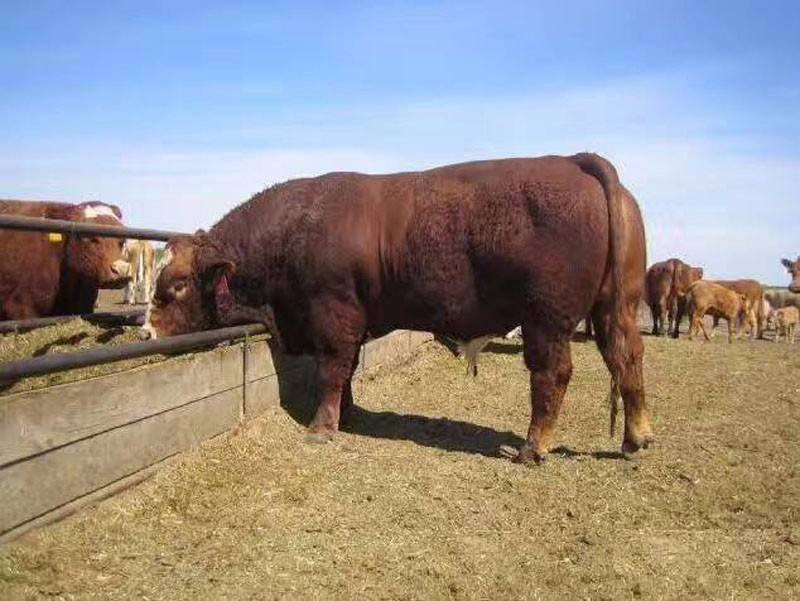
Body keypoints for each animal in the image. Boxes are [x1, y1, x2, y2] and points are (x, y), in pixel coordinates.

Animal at [141, 152, 652, 462]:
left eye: (179, 285)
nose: (146, 333)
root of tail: (573, 161)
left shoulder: (334, 315)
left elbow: (332, 369)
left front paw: (322, 427)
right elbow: (346, 371)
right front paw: (348, 414)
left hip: (546, 319)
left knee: (553, 374)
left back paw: (532, 448)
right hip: (616, 306)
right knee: (627, 359)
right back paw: (636, 438)